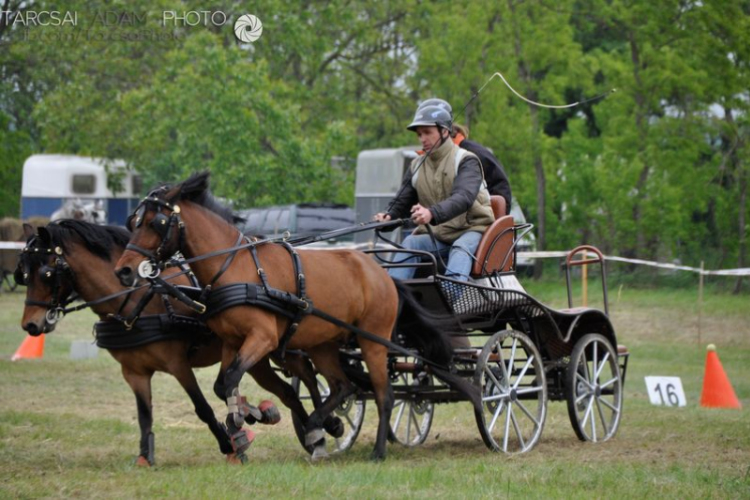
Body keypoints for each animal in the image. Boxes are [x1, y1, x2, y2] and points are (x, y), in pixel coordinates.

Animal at [15, 221, 328, 466]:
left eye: (46, 273)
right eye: (24, 274)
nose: (31, 325)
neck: (135, 301)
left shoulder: (178, 365)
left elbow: (202, 407)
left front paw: (229, 445)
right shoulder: (134, 372)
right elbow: (144, 415)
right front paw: (144, 457)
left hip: (281, 348)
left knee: (308, 378)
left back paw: (323, 424)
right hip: (259, 357)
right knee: (287, 392)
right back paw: (284, 420)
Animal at [114, 173, 478, 460]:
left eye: (157, 223)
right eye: (133, 222)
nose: (124, 270)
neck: (235, 267)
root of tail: (382, 274)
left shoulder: (263, 338)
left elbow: (232, 380)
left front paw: (249, 416)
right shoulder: (232, 342)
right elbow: (223, 383)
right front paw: (251, 417)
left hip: (373, 340)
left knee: (384, 394)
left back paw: (376, 450)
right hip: (324, 344)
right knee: (343, 387)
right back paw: (320, 425)